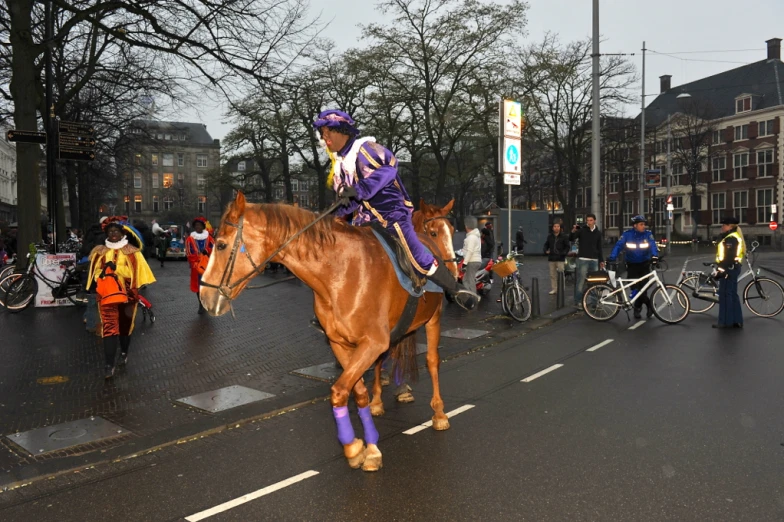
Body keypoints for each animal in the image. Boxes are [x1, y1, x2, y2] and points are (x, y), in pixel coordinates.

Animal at [201, 192, 460, 472]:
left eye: (221, 245)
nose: (204, 296)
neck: (339, 271)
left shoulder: (372, 342)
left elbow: (339, 392)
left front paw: (358, 447)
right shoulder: (342, 343)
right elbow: (357, 393)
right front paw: (363, 447)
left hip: (433, 319)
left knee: (432, 361)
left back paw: (439, 413)